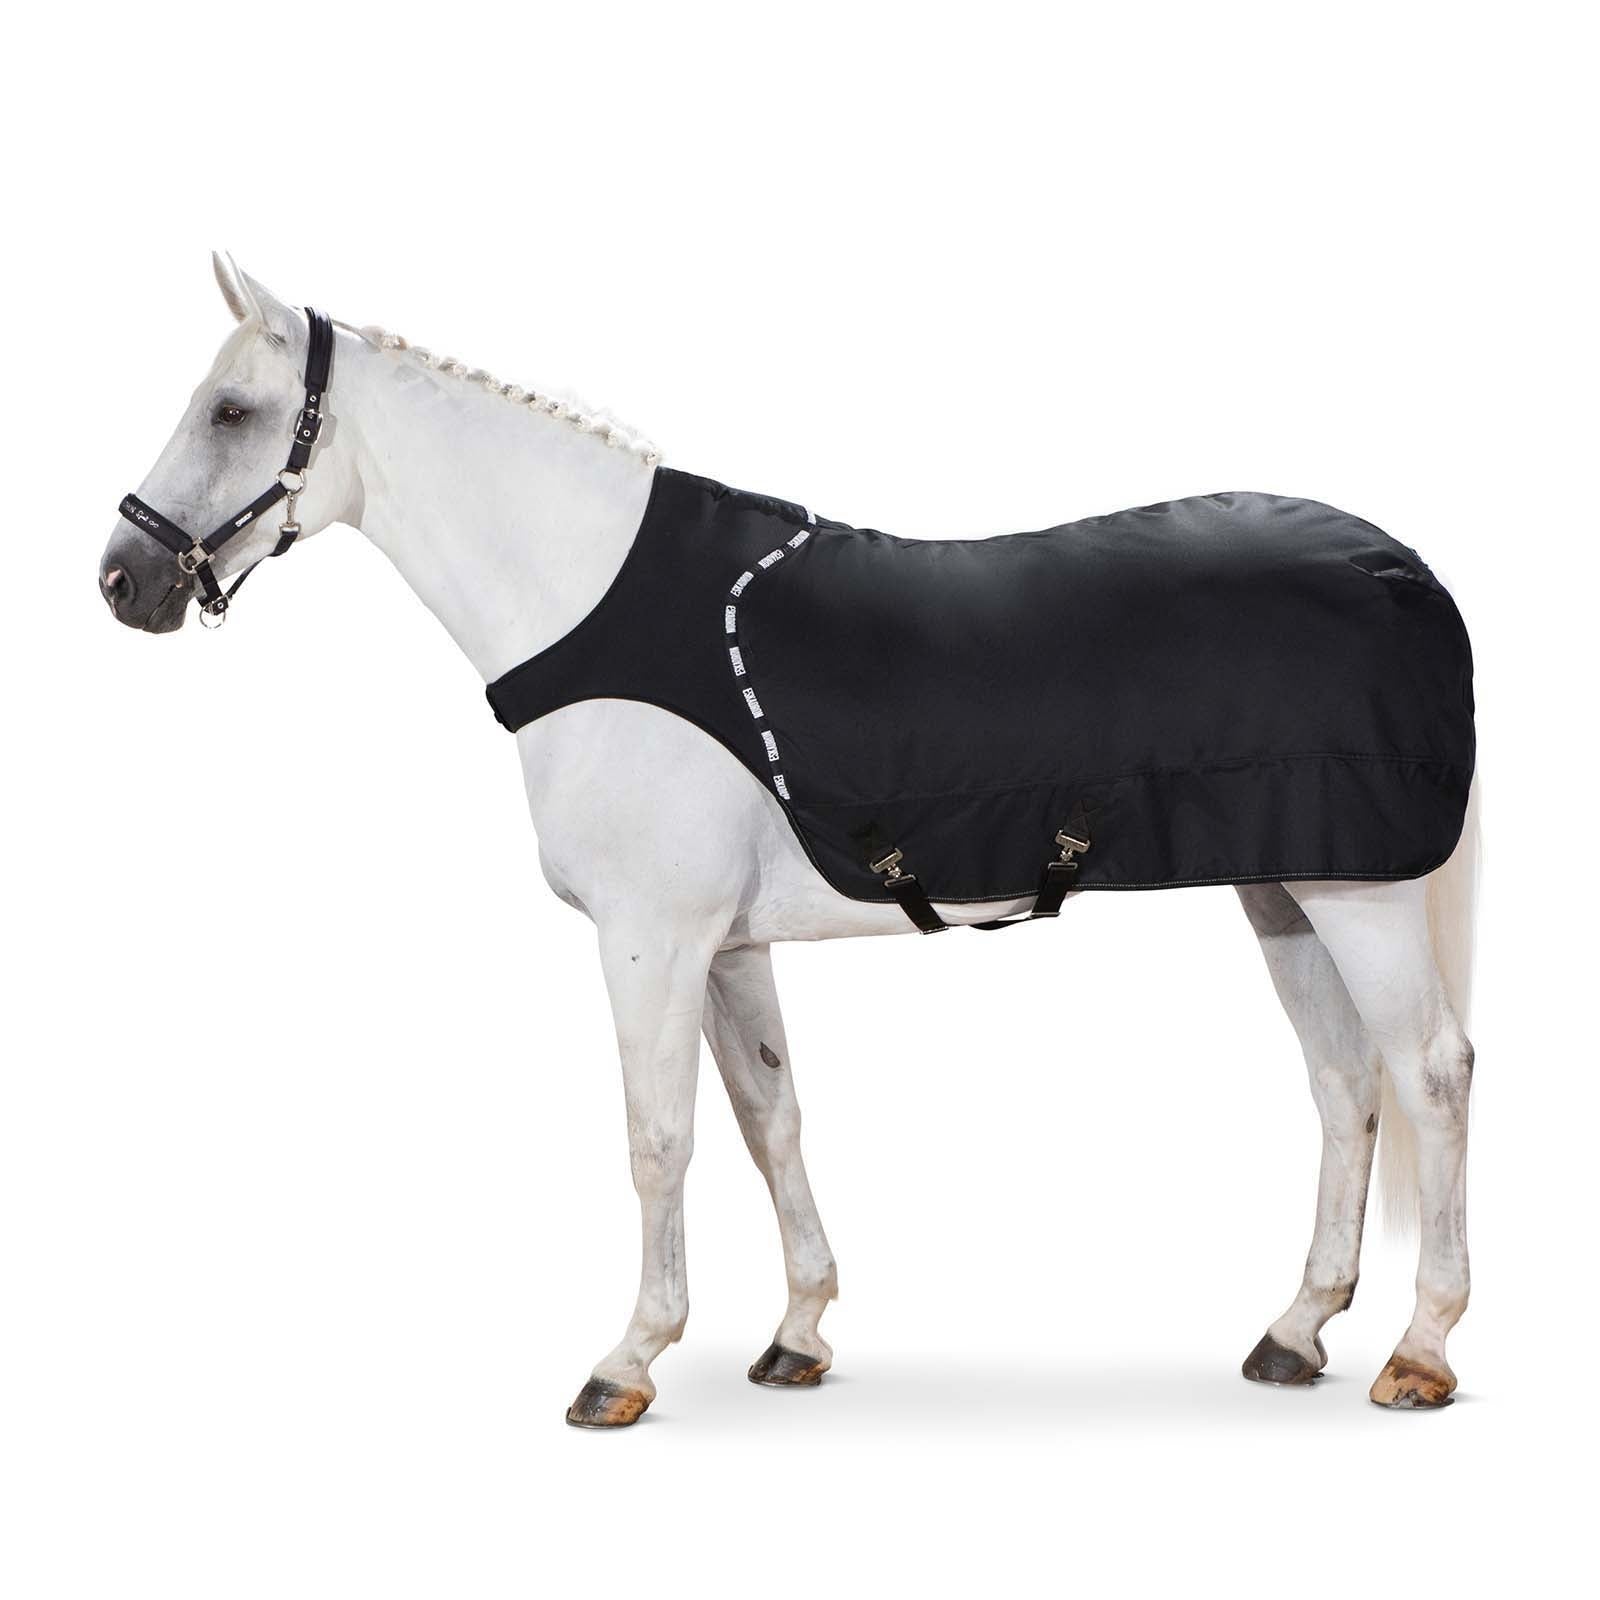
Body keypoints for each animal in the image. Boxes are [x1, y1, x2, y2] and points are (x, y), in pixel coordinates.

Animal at [100, 254, 1479, 1427]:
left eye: (230, 410)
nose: (122, 581)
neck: (589, 601)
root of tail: (1400, 568)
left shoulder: (650, 940)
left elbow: (658, 1138)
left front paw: (626, 1361)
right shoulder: (724, 945)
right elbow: (770, 1117)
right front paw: (798, 1333)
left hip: (1355, 896)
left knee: (1428, 1072)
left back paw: (1419, 1350)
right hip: (1286, 891)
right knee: (1342, 1084)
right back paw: (1295, 1330)